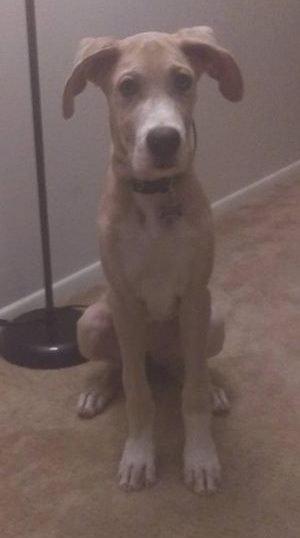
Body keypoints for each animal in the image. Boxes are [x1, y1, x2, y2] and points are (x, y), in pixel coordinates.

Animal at [62, 27, 241, 492]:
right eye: (126, 87)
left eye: (183, 81)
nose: (164, 140)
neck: (156, 197)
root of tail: (158, 357)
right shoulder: (123, 302)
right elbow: (138, 394)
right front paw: (139, 456)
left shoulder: (196, 297)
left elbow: (191, 396)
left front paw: (200, 458)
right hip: (92, 321)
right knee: (124, 365)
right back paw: (99, 388)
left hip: (212, 322)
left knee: (188, 370)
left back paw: (209, 387)